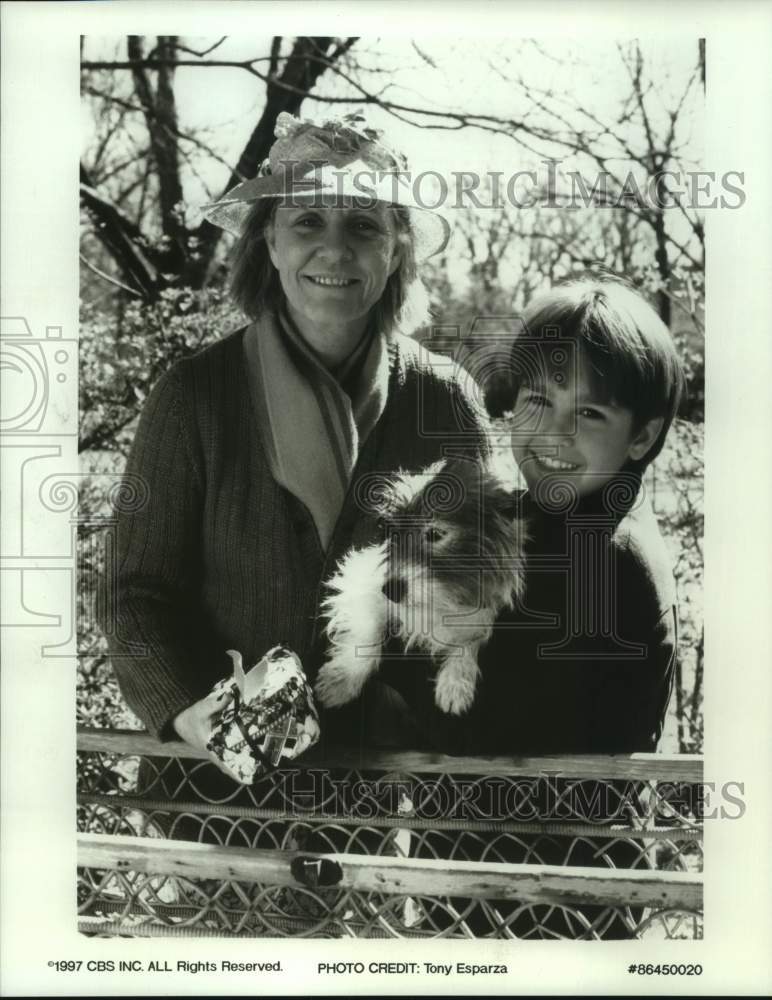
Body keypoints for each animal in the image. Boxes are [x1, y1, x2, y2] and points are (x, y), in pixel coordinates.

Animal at [316, 458, 528, 716]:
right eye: (391, 533)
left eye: (435, 533)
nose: (391, 591)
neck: (439, 596)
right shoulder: (363, 579)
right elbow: (367, 629)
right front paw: (344, 677)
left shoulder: (485, 604)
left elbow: (469, 638)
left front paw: (456, 680)